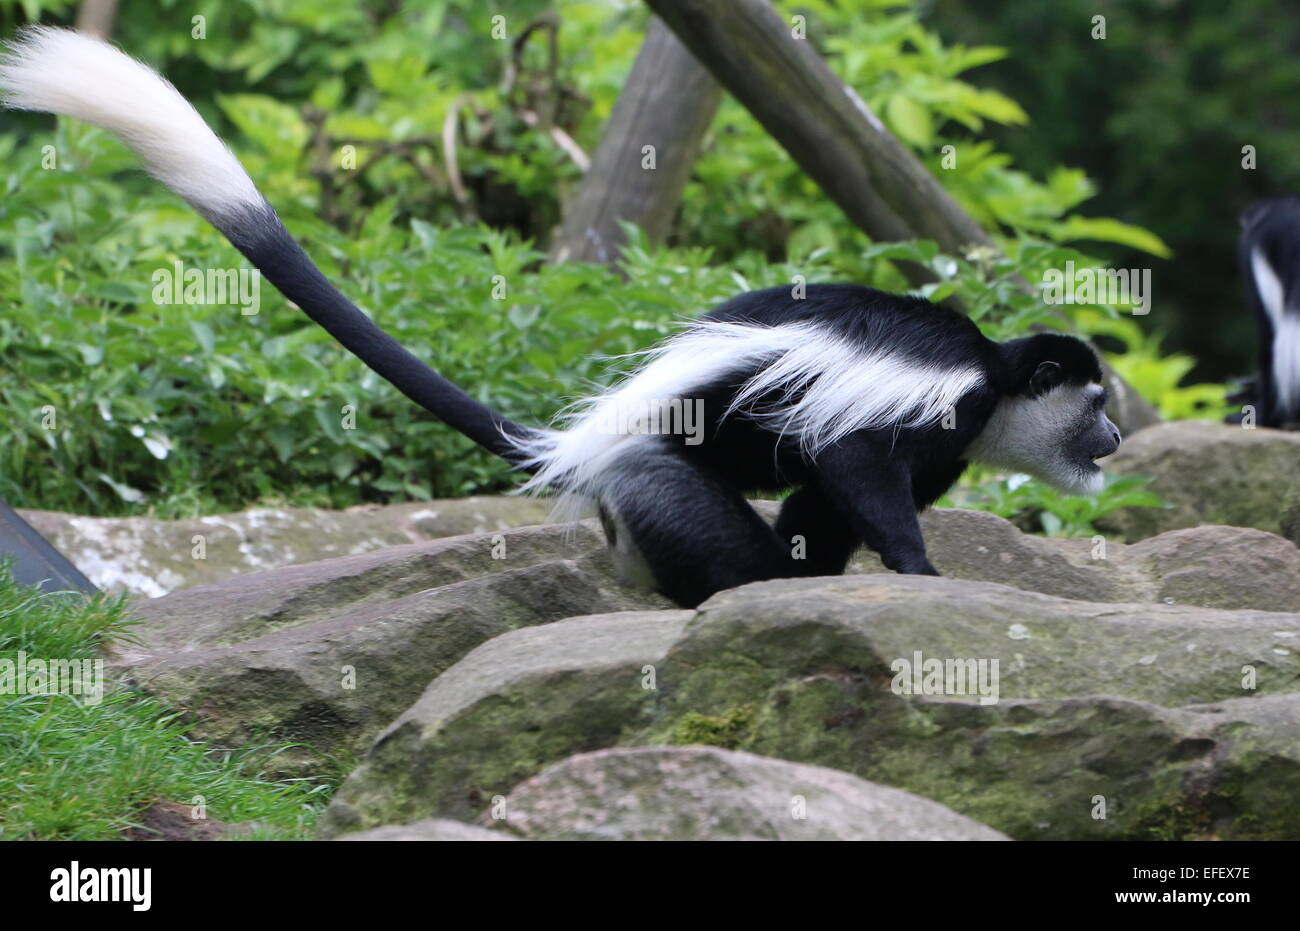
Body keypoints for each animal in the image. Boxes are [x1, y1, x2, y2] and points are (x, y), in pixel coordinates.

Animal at [0, 29, 1118, 608]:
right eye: (1098, 403)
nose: (1112, 440)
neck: (992, 381)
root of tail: (587, 435)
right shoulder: (924, 405)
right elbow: (850, 470)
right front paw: (919, 576)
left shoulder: (945, 447)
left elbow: (824, 500)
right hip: (652, 470)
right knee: (692, 512)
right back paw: (734, 590)